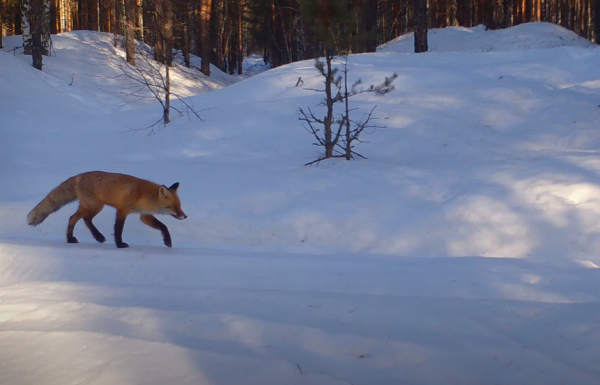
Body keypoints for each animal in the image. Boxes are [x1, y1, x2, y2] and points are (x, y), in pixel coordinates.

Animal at [28, 170, 186, 248]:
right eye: (174, 207)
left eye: (180, 205)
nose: (185, 217)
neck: (144, 195)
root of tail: (79, 176)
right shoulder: (122, 210)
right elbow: (118, 229)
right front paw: (120, 244)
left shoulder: (144, 215)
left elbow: (163, 226)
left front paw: (167, 241)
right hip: (94, 206)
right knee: (79, 218)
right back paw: (94, 237)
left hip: (94, 207)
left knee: (78, 218)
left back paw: (76, 238)